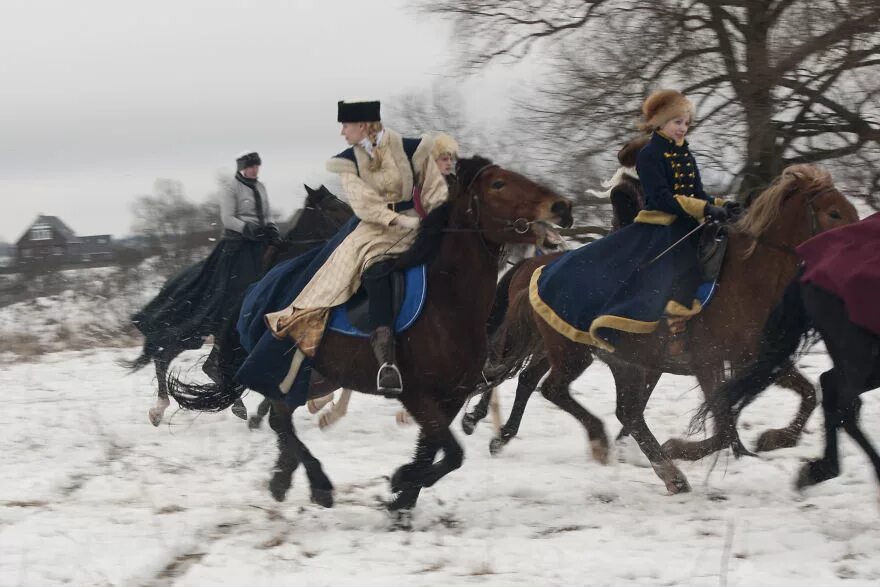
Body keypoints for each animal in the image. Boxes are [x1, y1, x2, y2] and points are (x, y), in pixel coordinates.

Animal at [124, 187, 350, 428]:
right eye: (334, 207)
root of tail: (169, 282)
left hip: (202, 332)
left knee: (184, 359)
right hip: (196, 330)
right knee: (169, 357)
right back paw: (161, 409)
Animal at [168, 156, 576, 516]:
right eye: (498, 184)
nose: (562, 207)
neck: (447, 304)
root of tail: (256, 290)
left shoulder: (452, 396)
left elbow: (436, 452)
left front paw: (402, 497)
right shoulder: (417, 394)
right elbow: (450, 451)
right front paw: (401, 484)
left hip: (315, 376)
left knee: (281, 419)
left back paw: (282, 479)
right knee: (280, 420)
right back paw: (318, 485)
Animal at [478, 164, 856, 492]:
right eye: (834, 213)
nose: (856, 244)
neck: (746, 281)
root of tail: (539, 270)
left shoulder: (756, 360)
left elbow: (807, 394)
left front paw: (773, 439)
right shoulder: (708, 362)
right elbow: (723, 423)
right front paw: (683, 448)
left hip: (611, 359)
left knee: (618, 409)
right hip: (573, 353)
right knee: (552, 389)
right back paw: (618, 448)